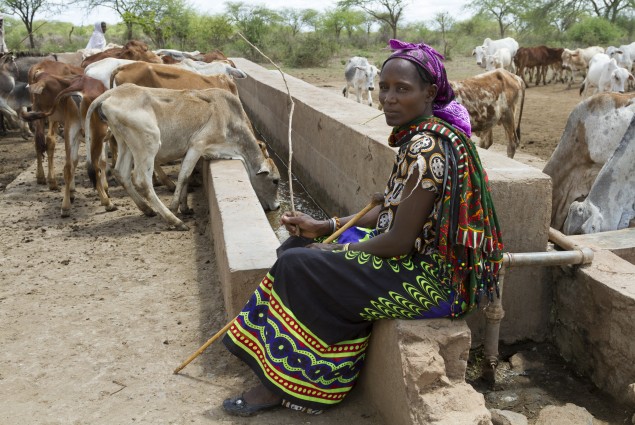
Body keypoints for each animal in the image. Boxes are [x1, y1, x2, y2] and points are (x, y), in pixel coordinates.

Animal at [84, 84, 280, 230]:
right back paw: (173, 220)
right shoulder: (197, 144)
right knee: (141, 180)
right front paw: (175, 207)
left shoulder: (192, 150)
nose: (277, 206)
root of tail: (114, 92)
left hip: (125, 143)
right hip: (149, 141)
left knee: (121, 173)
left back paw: (147, 209)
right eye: (275, 180)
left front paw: (185, 207)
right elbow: (184, 175)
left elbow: (187, 176)